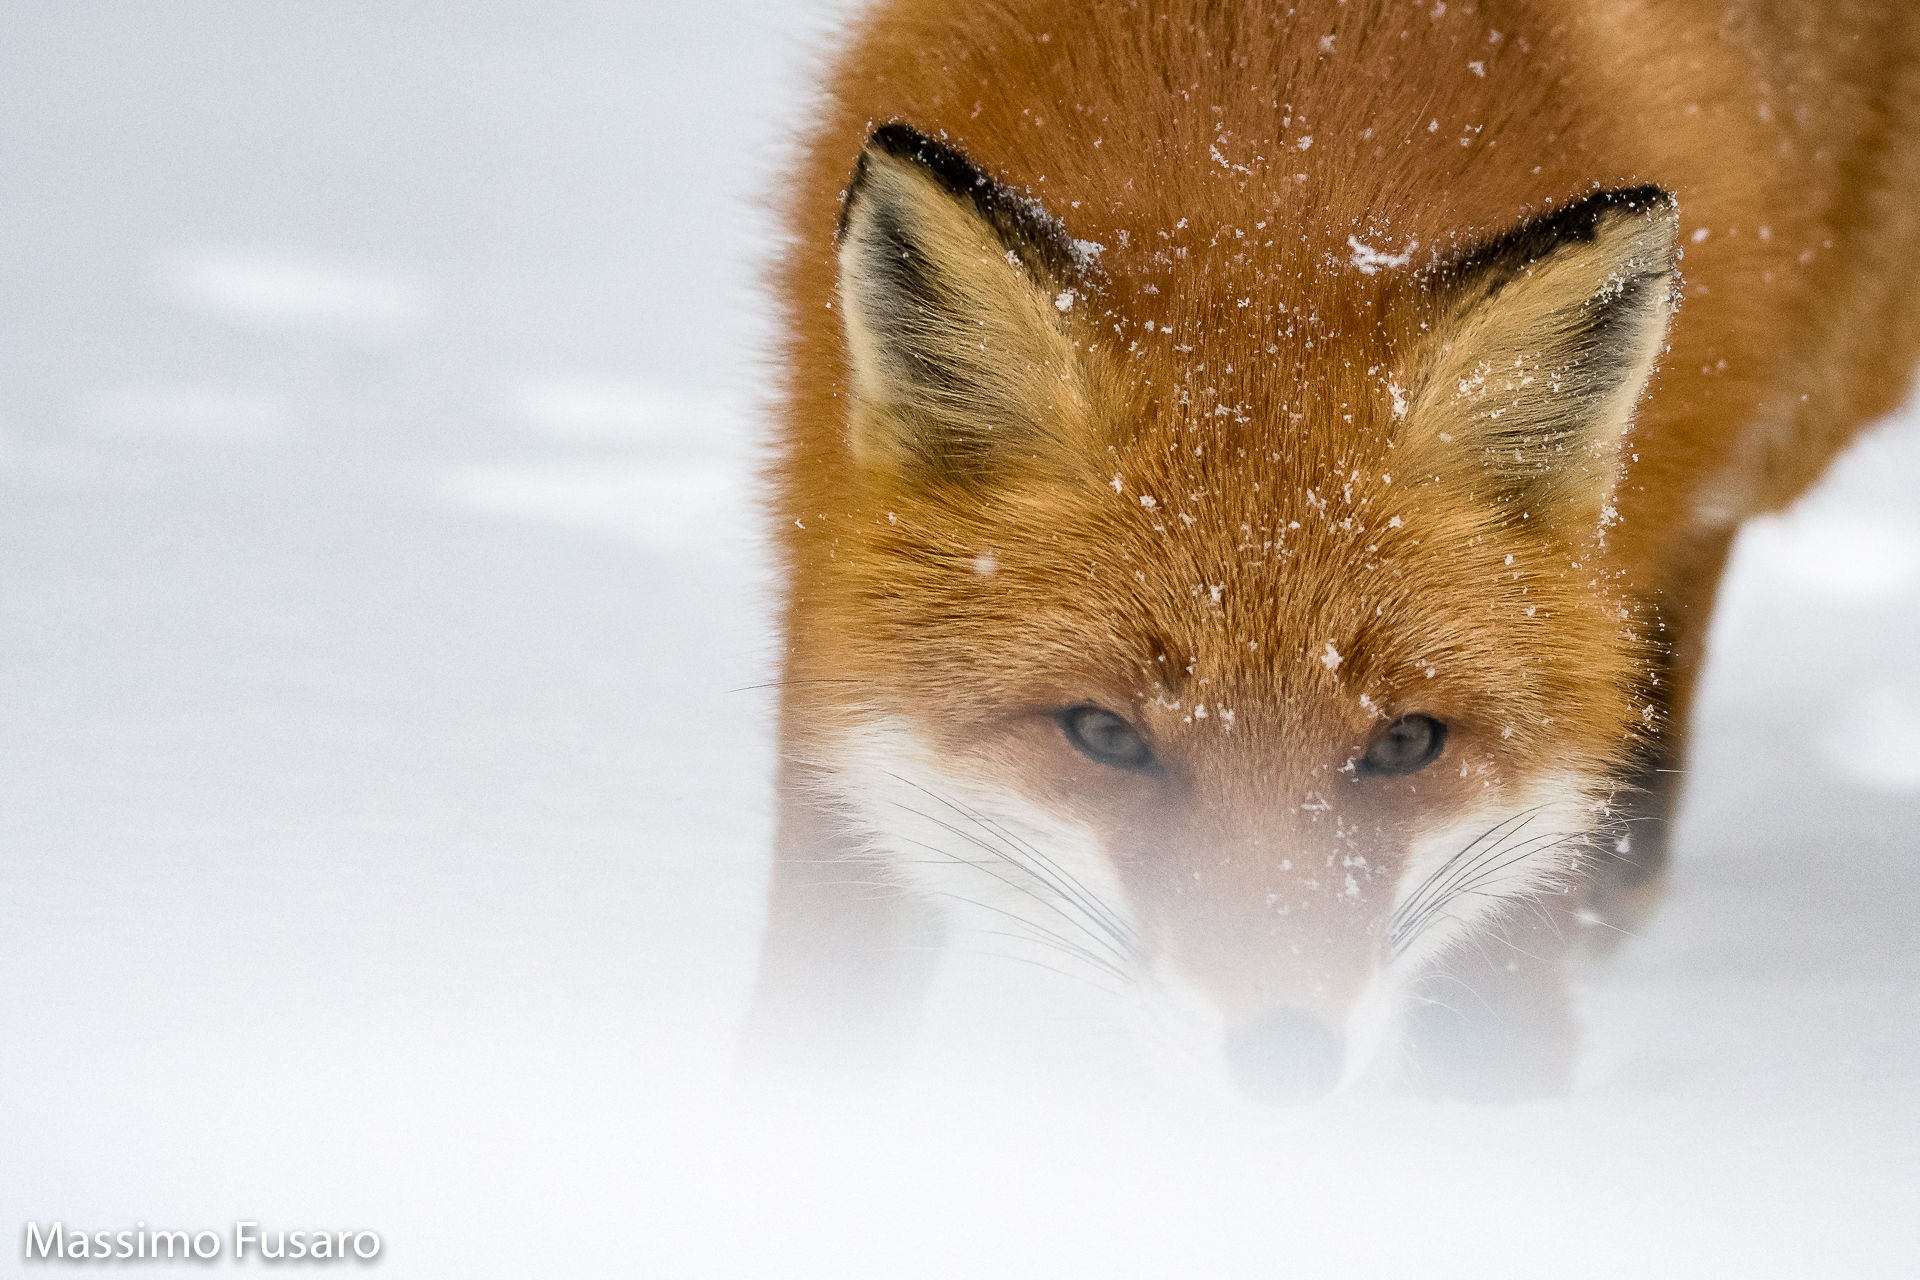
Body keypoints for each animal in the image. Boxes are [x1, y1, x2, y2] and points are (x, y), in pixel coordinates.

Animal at [746, 0, 1920, 1102]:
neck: (1263, 144)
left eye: (1407, 742)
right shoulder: (838, 670)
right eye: (1103, 734)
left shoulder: (1528, 811)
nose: (1286, 1063)